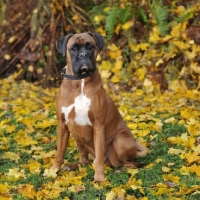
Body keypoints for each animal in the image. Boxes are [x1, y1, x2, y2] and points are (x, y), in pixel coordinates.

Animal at [51, 32, 148, 181]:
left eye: (90, 47)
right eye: (73, 49)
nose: (83, 54)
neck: (80, 82)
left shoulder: (98, 125)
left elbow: (99, 156)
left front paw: (99, 178)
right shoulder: (62, 125)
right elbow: (59, 152)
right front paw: (53, 170)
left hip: (120, 140)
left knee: (129, 163)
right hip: (76, 136)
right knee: (84, 160)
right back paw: (73, 166)